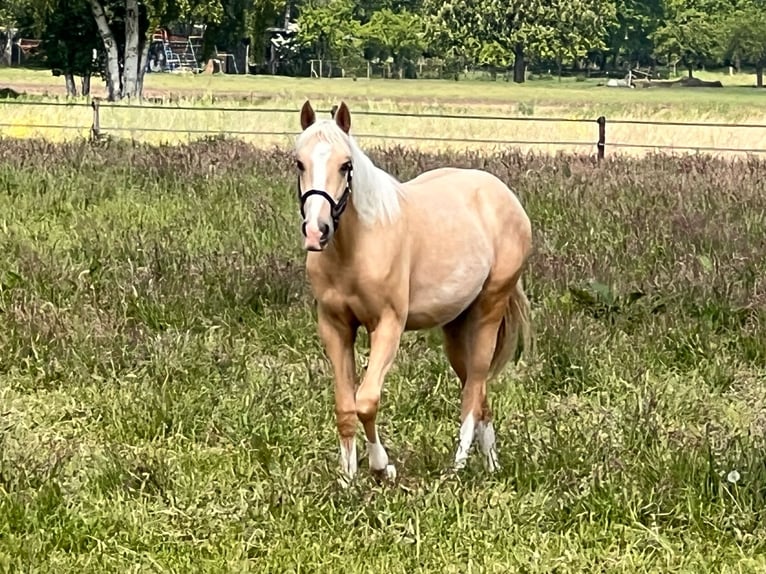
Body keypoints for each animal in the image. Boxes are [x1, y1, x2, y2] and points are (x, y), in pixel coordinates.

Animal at [294, 101, 536, 484]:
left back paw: (458, 466)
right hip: (456, 328)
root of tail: (504, 196)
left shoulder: (388, 326)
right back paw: (492, 464)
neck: (357, 248)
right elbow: (345, 406)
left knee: (474, 390)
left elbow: (366, 400)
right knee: (479, 391)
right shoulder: (334, 327)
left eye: (346, 165)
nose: (317, 231)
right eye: (298, 163)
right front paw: (347, 478)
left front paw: (382, 467)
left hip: (488, 311)